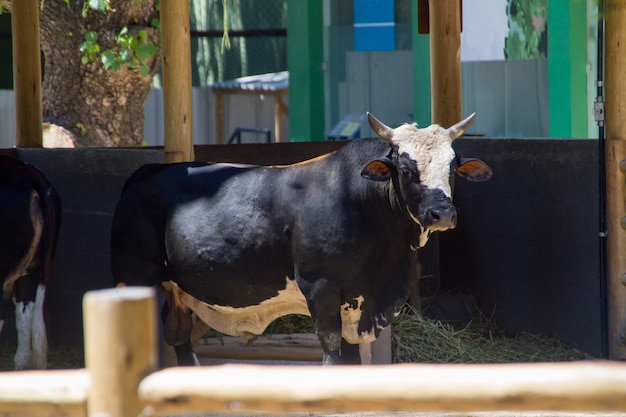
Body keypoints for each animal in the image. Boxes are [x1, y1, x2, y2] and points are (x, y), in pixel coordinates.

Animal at [109, 113, 490, 364]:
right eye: (407, 169)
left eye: (452, 167)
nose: (443, 214)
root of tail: (148, 171)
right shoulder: (321, 288)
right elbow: (332, 348)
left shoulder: (359, 303)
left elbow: (351, 355)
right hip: (133, 277)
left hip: (178, 290)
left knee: (179, 334)